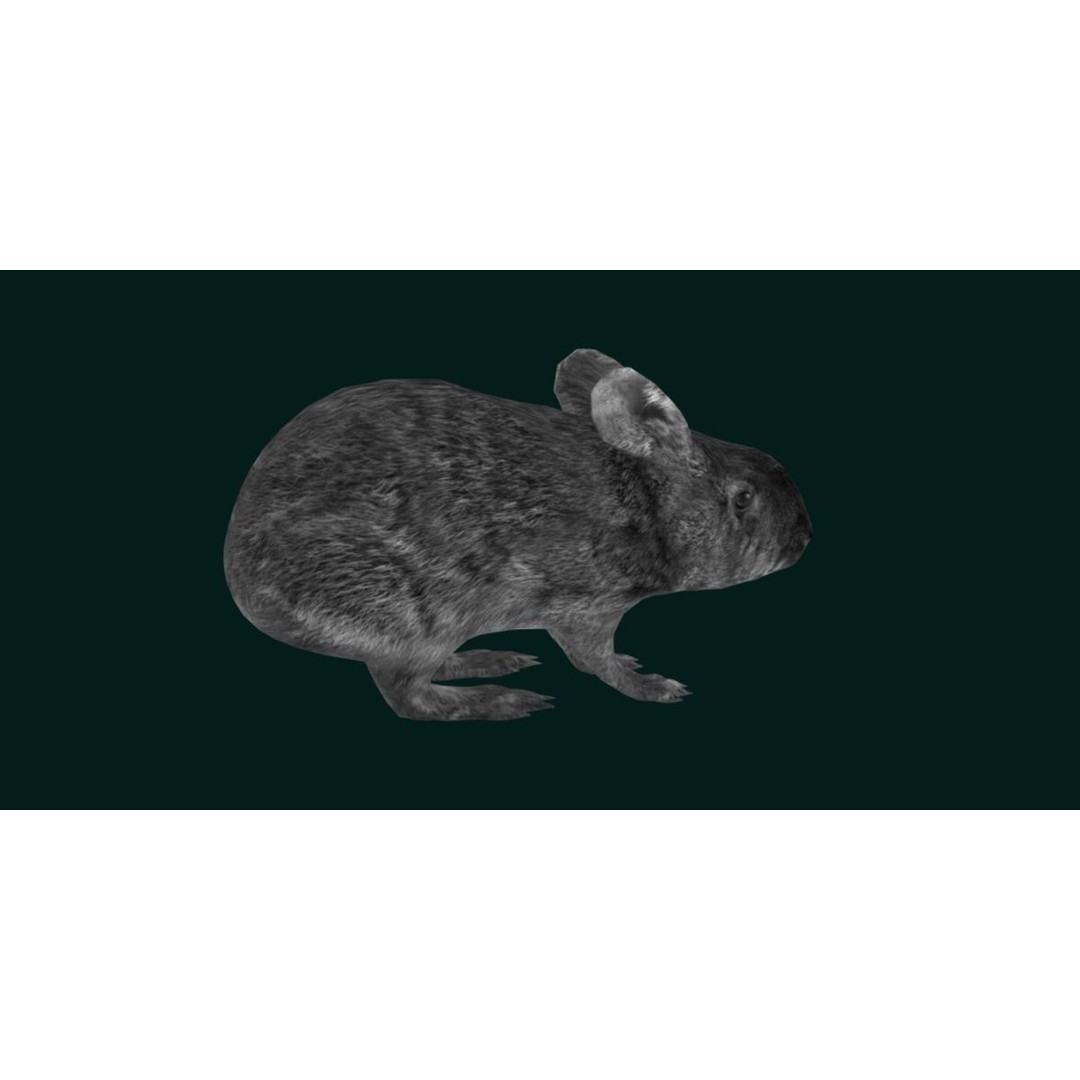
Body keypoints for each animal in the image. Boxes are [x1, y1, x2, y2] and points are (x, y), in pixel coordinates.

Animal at [223, 348, 812, 721]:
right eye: (742, 498)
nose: (804, 536)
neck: (645, 505)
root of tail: (244, 587)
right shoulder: (585, 607)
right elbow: (593, 661)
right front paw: (654, 687)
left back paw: (492, 659)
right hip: (410, 612)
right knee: (408, 695)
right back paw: (505, 698)